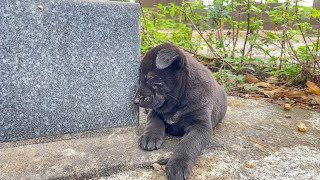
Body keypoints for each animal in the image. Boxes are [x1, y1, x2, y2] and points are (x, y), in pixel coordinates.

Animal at [135, 43, 228, 179]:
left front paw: (178, 165)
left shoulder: (201, 127)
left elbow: (188, 144)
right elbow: (154, 122)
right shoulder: (155, 112)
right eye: (139, 79)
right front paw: (150, 137)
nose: (135, 101)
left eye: (154, 80)